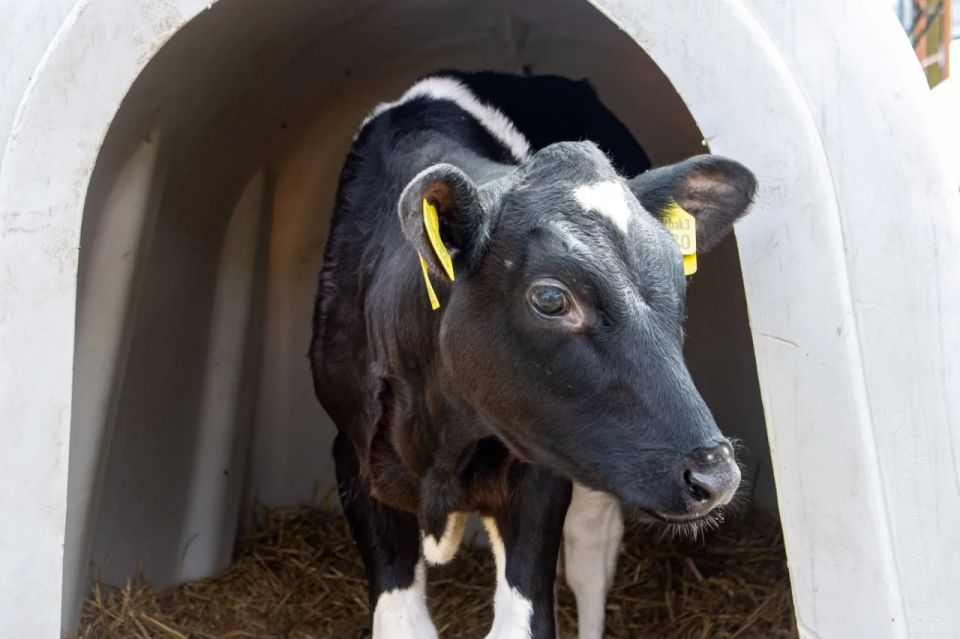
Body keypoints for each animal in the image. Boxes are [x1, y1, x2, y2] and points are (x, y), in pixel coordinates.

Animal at [310, 71, 757, 639]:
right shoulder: (353, 456)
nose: (715, 476)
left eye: (680, 281)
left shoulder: (538, 480)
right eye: (550, 298)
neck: (441, 445)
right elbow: (402, 625)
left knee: (591, 549)